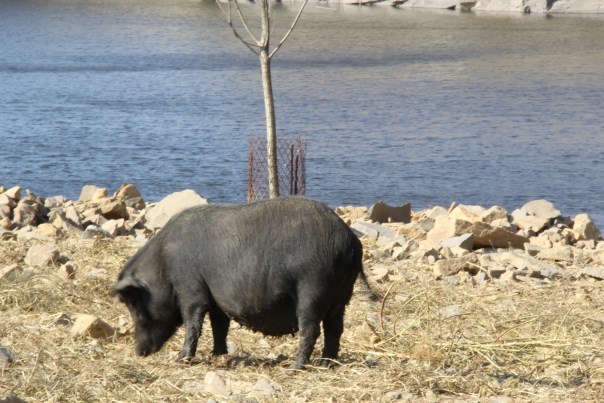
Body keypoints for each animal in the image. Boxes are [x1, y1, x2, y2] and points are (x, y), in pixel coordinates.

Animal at [111, 197, 360, 370]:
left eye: (137, 309)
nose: (137, 351)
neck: (163, 266)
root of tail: (349, 240)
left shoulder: (190, 288)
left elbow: (193, 323)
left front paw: (181, 359)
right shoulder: (215, 299)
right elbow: (219, 327)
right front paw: (219, 356)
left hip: (312, 286)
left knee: (311, 328)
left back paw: (295, 367)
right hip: (341, 295)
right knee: (335, 328)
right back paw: (326, 364)